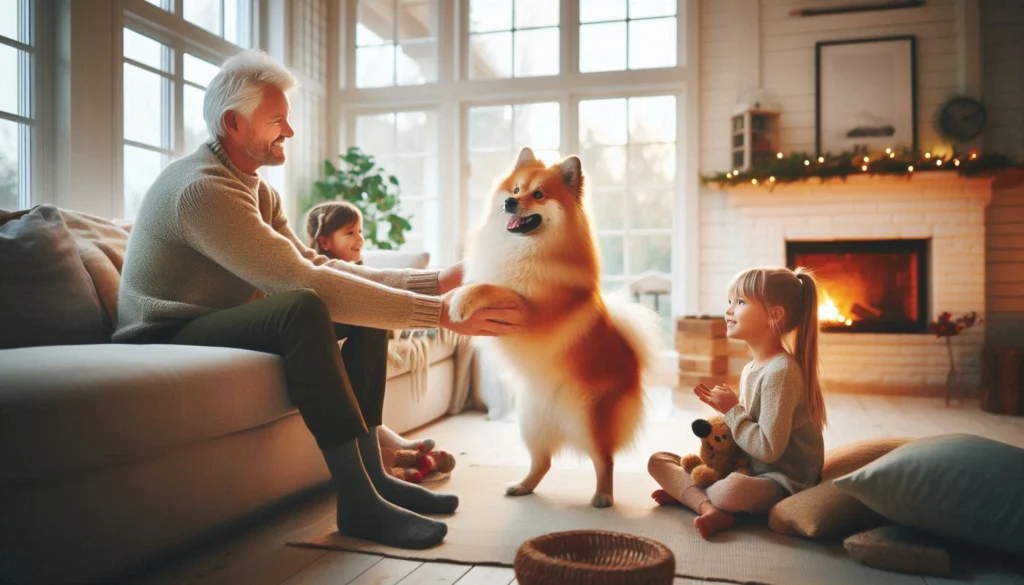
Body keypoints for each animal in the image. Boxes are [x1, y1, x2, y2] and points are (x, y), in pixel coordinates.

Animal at [450, 147, 663, 508]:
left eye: (538, 195)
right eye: (516, 189)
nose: (510, 202)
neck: (525, 249)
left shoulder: (530, 311)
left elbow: (490, 288)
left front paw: (460, 301)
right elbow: (484, 283)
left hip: (588, 418)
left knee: (604, 459)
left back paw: (603, 495)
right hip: (531, 421)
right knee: (543, 461)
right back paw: (522, 486)